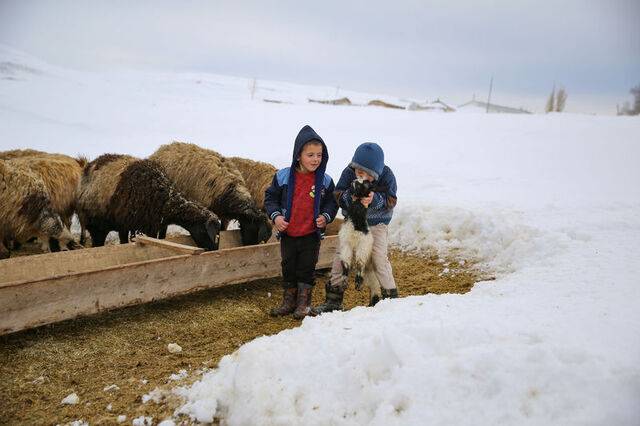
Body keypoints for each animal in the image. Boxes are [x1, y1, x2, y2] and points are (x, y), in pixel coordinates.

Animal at [77, 154, 220, 250]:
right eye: (208, 232)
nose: (215, 250)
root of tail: (88, 166)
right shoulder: (145, 225)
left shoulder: (150, 225)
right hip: (96, 225)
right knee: (97, 244)